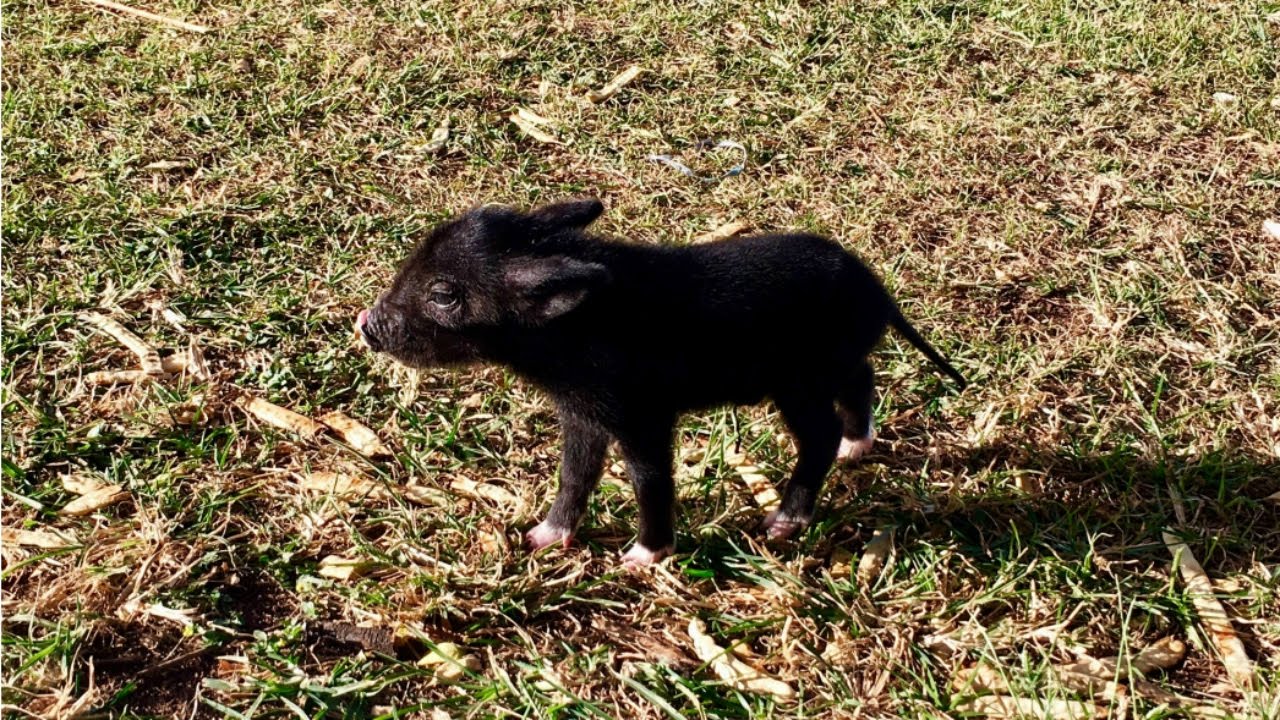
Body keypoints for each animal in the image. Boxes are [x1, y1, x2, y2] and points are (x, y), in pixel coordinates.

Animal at [358, 198, 965, 567]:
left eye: (443, 294)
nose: (365, 323)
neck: (569, 335)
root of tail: (877, 291)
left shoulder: (642, 415)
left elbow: (649, 480)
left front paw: (640, 559)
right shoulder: (582, 413)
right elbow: (574, 475)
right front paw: (539, 540)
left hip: (799, 381)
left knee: (818, 435)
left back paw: (780, 525)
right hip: (831, 366)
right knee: (861, 379)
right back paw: (857, 451)